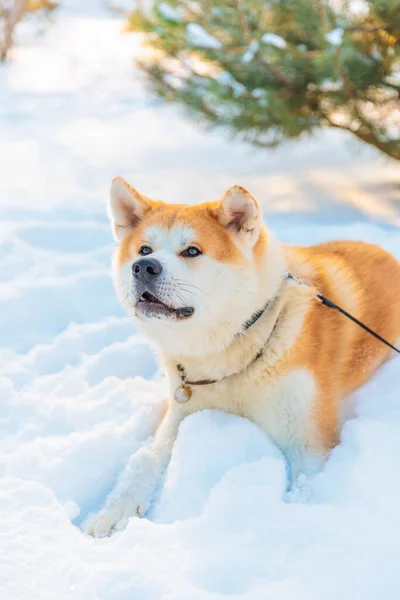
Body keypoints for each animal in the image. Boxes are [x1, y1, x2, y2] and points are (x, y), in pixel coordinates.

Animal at [83, 176, 400, 536]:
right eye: (144, 250)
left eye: (192, 251)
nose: (144, 267)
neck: (230, 357)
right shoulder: (181, 411)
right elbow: (145, 460)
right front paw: (112, 512)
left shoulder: (309, 442)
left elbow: (305, 491)